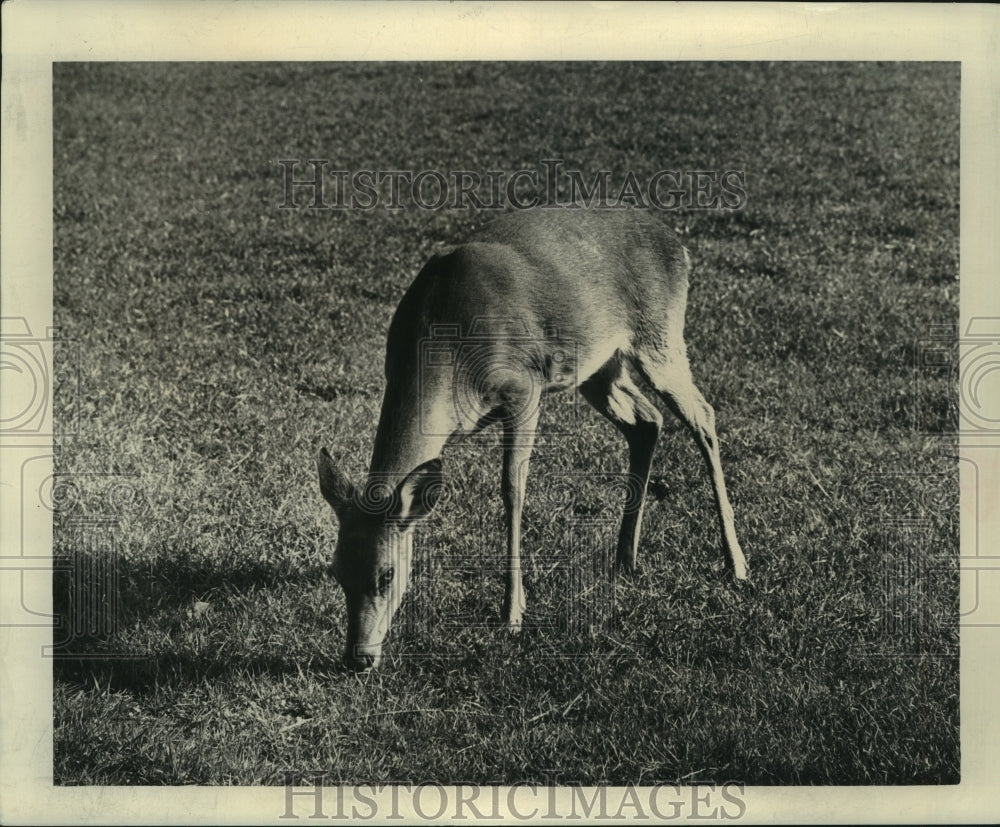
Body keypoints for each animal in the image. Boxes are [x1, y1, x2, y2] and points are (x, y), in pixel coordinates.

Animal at [316, 209, 748, 672]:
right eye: (337, 570)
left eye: (387, 575)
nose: (357, 658)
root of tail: (679, 246)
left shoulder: (524, 387)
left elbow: (512, 489)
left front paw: (513, 613)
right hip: (600, 366)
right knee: (647, 421)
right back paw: (625, 558)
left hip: (660, 336)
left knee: (703, 415)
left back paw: (736, 564)